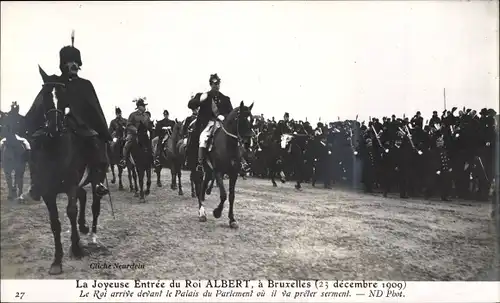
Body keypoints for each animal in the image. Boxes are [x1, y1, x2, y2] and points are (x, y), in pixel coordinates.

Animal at [22, 66, 108, 276]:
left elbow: (71, 211)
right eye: (45, 95)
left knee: (94, 205)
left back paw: (92, 236)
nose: (54, 127)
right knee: (83, 195)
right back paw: (84, 226)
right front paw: (57, 260)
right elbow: (55, 222)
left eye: (62, 94)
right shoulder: (48, 192)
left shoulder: (69, 185)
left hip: (96, 178)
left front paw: (76, 248)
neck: (55, 149)